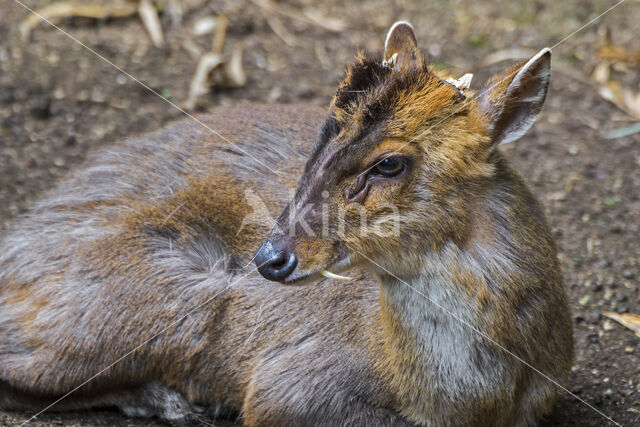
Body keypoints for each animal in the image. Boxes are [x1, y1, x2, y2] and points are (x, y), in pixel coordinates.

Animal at [0, 22, 568, 424]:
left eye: (389, 163)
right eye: (322, 134)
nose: (269, 258)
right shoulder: (285, 387)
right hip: (154, 300)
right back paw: (169, 401)